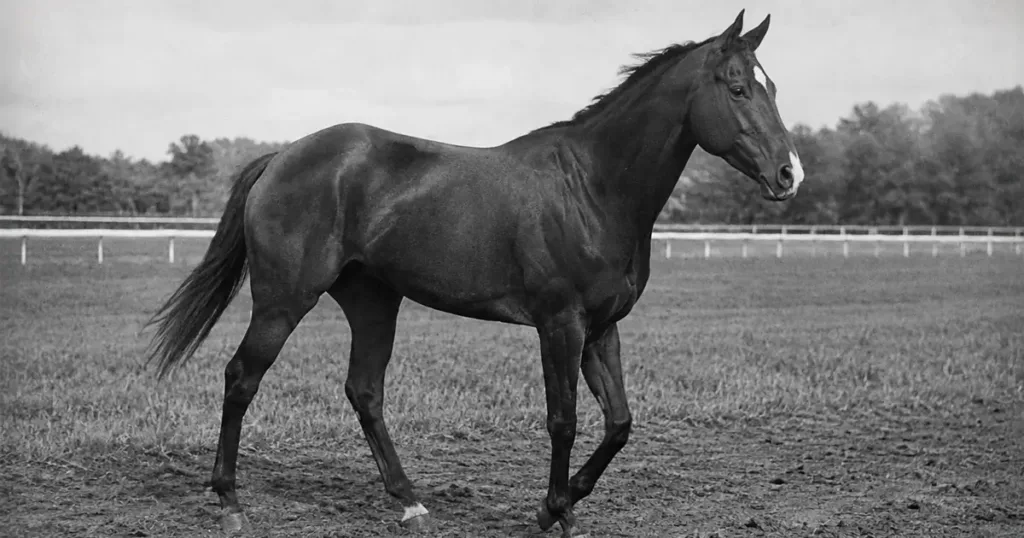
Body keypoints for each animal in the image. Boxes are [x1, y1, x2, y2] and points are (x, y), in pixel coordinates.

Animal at [146, 10, 804, 537]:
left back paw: (409, 502)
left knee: (364, 391)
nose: (789, 173)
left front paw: (563, 504)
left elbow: (619, 423)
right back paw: (231, 503)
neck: (591, 186)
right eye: (738, 87)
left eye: (773, 86)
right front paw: (553, 510)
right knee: (241, 378)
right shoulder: (560, 325)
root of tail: (281, 157)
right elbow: (563, 420)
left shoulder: (601, 328)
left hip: (373, 301)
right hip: (284, 302)